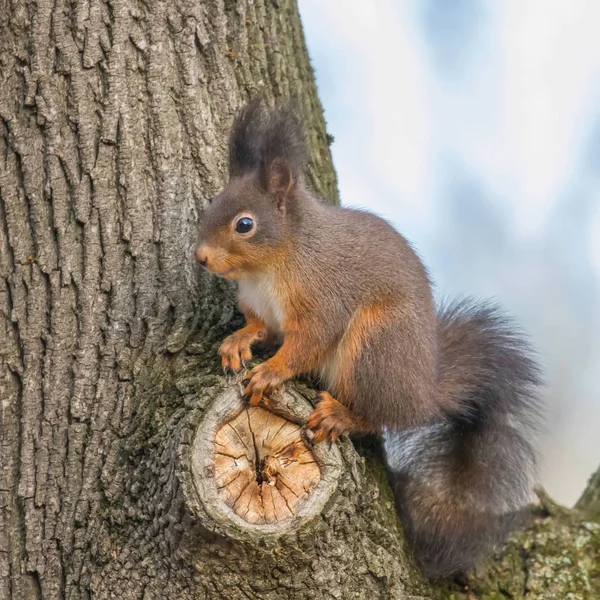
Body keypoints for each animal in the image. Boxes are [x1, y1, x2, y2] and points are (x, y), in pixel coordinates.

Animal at [195, 98, 540, 576]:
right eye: (212, 204)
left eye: (244, 224)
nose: (200, 257)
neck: (271, 266)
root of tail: (423, 393)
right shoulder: (259, 305)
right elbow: (260, 327)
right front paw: (239, 341)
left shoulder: (323, 299)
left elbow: (308, 343)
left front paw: (270, 372)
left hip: (374, 346)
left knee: (380, 416)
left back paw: (342, 416)